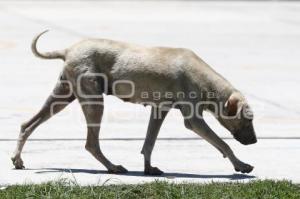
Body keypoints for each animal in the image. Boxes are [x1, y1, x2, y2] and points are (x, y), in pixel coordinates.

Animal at [11, 30, 256, 175]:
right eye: (247, 120)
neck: (205, 80)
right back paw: (112, 167)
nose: (254, 141)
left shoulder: (159, 110)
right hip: (93, 101)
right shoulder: (193, 120)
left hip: (63, 95)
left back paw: (17, 159)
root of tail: (69, 50)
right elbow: (223, 143)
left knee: (27, 125)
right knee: (91, 143)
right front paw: (240, 165)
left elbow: (149, 142)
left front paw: (148, 168)